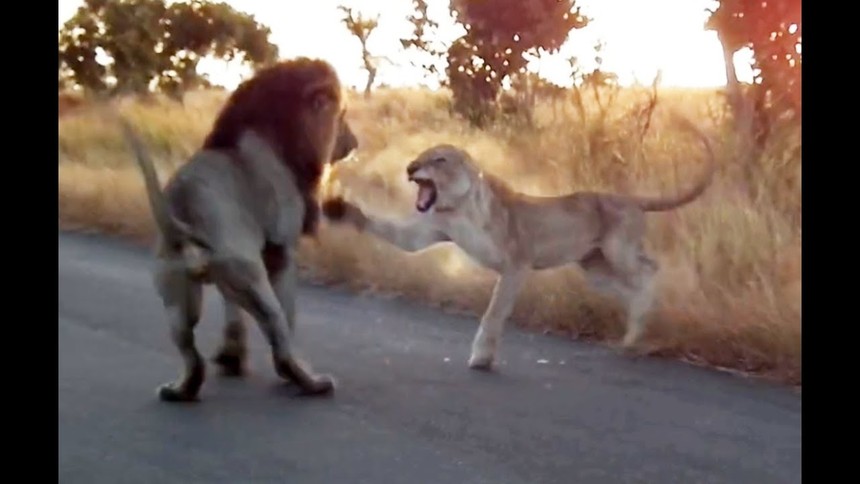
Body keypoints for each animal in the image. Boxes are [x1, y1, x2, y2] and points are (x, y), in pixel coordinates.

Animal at [122, 58, 360, 402]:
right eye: (340, 117)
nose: (355, 143)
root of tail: (182, 205)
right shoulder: (281, 251)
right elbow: (288, 313)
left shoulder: (235, 270)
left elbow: (231, 313)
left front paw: (230, 358)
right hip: (251, 278)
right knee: (278, 332)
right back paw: (309, 382)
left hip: (177, 291)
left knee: (189, 350)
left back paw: (180, 390)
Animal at [322, 113, 712, 370]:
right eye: (420, 157)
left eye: (439, 159)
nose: (409, 168)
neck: (458, 206)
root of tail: (630, 199)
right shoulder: (429, 230)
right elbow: (399, 237)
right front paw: (342, 209)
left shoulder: (517, 264)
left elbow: (495, 312)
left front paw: (481, 358)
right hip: (595, 267)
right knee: (630, 285)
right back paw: (633, 334)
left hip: (618, 250)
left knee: (649, 269)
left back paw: (641, 323)